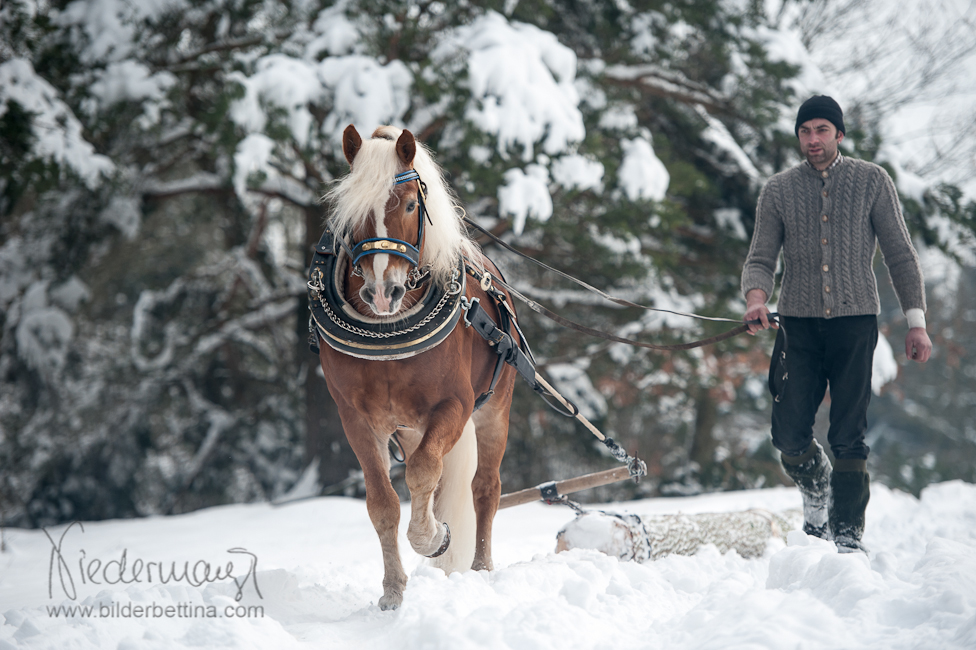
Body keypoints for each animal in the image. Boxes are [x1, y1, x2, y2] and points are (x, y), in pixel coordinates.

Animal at [314, 123, 520, 608]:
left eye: (410, 204)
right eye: (352, 211)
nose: (381, 292)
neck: (389, 333)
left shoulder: (455, 405)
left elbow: (426, 471)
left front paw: (432, 538)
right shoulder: (357, 419)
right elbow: (383, 503)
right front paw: (392, 590)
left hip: (494, 409)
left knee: (485, 488)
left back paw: (480, 568)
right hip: (408, 428)